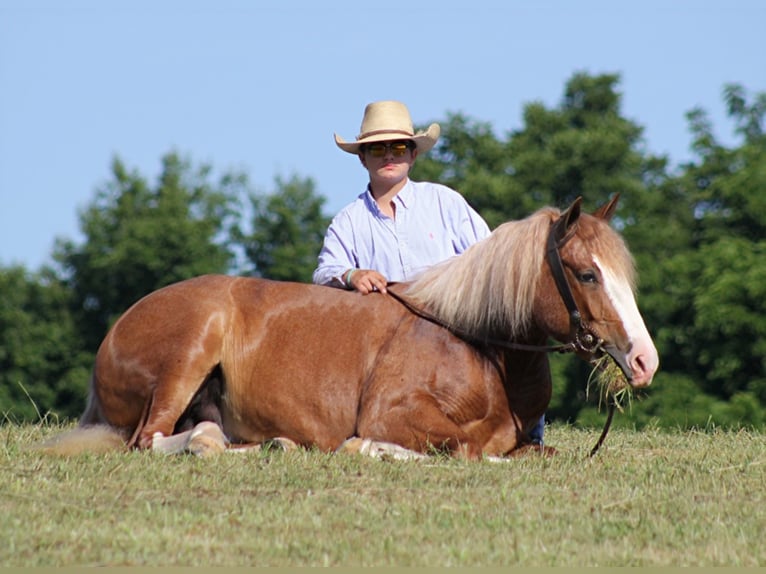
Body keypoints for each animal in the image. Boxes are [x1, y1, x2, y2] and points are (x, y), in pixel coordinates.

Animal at [43, 196, 660, 462]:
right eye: (587, 273)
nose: (643, 360)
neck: (471, 342)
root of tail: (118, 328)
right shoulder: (393, 415)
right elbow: (459, 449)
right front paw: (365, 448)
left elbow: (527, 452)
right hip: (189, 354)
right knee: (157, 440)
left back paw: (274, 443)